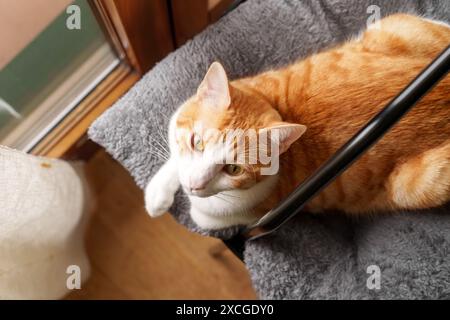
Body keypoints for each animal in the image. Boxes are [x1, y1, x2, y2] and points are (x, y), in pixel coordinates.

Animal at [145, 14, 450, 230]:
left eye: (233, 169)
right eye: (196, 141)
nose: (194, 185)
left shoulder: (246, 213)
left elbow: (202, 216)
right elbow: (175, 158)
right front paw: (159, 193)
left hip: (424, 183)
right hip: (394, 28)